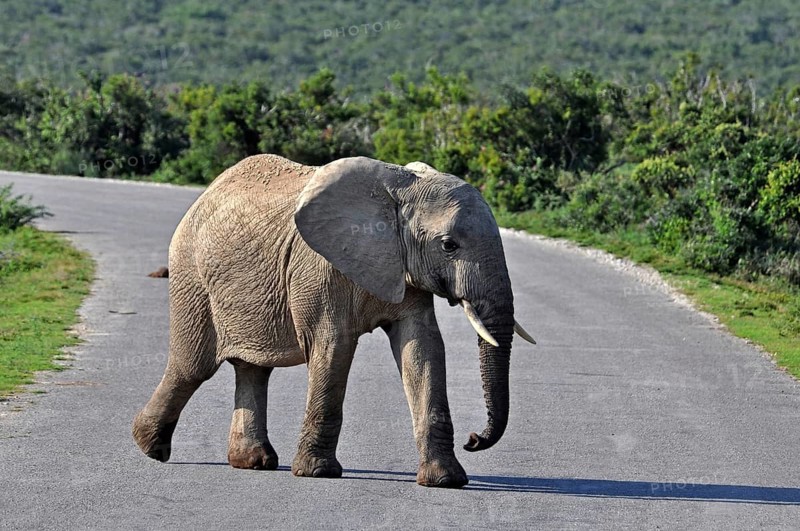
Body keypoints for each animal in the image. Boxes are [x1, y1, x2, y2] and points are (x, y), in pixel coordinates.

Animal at [132, 154, 535, 488]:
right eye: (449, 245)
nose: (474, 439)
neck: (399, 192)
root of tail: (206, 193)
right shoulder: (320, 268)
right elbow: (333, 346)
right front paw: (317, 473)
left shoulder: (404, 267)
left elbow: (422, 348)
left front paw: (445, 480)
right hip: (191, 274)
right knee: (193, 366)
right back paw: (149, 446)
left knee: (252, 369)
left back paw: (252, 461)